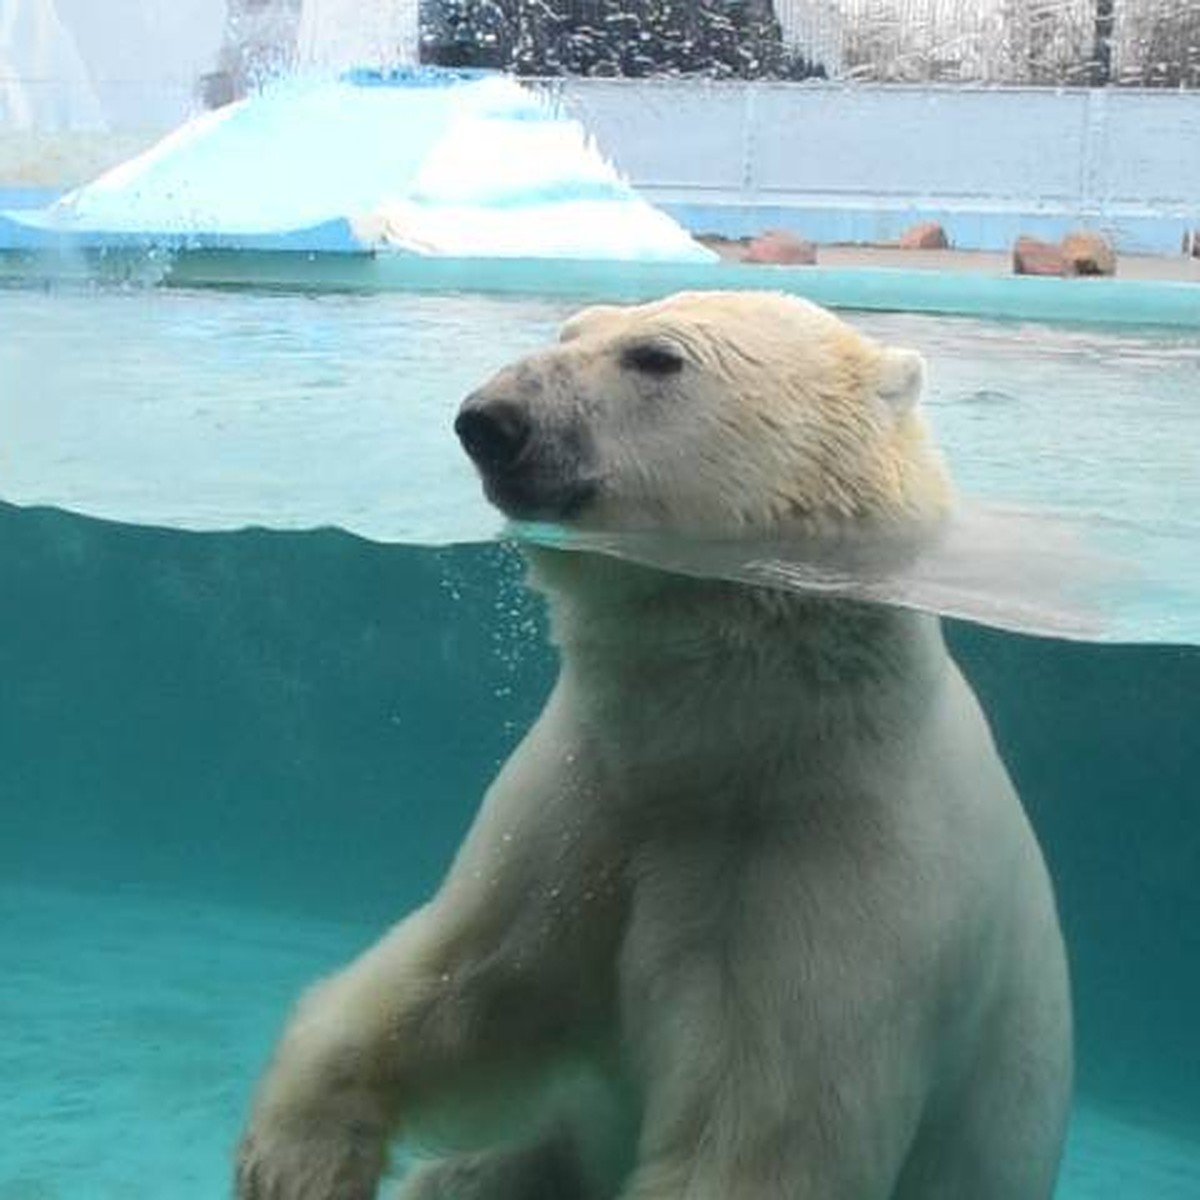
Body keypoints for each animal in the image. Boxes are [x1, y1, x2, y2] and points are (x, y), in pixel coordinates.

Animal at [234, 292, 1070, 1200]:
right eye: (570, 330)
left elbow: (754, 1131)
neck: (724, 747)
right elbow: (466, 978)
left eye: (657, 357)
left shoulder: (840, 876)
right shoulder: (586, 798)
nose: (490, 419)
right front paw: (293, 1158)